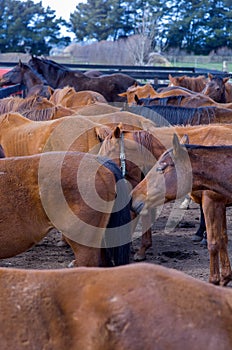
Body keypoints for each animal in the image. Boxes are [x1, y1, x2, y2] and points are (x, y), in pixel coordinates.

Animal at [131, 135, 232, 286]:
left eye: (160, 168)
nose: (132, 197)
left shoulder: (212, 203)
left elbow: (213, 242)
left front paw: (214, 281)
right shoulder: (219, 205)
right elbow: (223, 238)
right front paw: (225, 278)